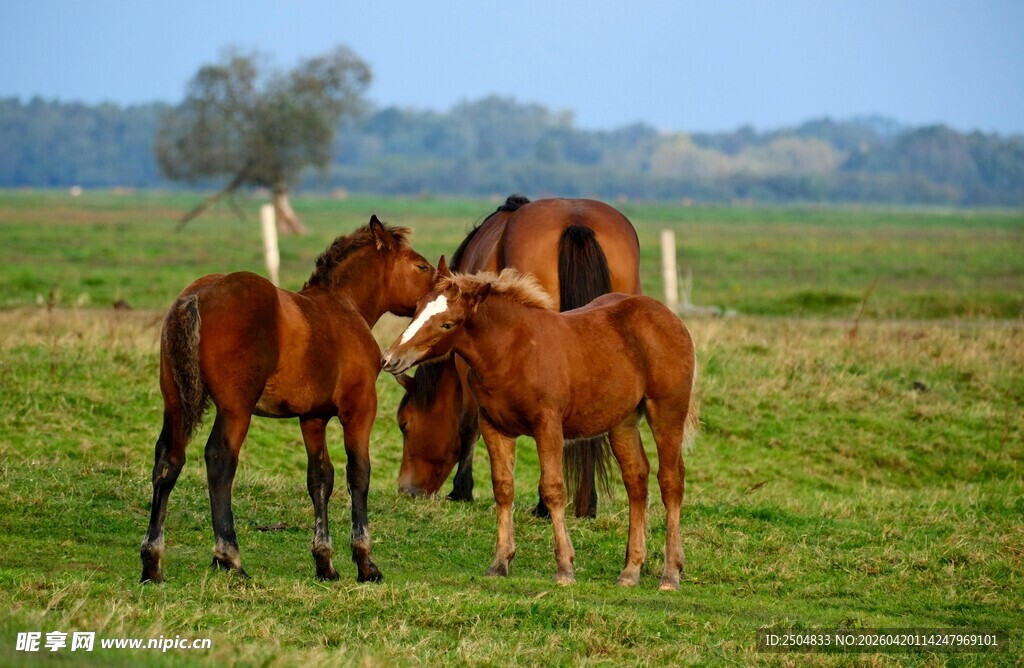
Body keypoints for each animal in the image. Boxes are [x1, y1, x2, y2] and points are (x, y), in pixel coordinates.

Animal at [140, 216, 435, 584]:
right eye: (421, 266)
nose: (441, 292)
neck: (343, 308)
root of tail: (197, 296)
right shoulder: (359, 409)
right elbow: (358, 474)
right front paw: (365, 562)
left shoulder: (312, 417)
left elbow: (320, 478)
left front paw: (325, 562)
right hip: (235, 409)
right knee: (220, 461)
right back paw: (229, 556)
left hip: (175, 402)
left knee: (168, 461)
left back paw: (152, 562)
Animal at [382, 261, 698, 590]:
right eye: (417, 308)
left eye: (447, 324)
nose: (390, 358)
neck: (511, 351)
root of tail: (669, 317)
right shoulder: (494, 427)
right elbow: (503, 488)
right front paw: (500, 562)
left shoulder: (548, 426)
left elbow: (553, 489)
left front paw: (565, 567)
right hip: (623, 422)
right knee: (636, 478)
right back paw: (630, 571)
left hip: (667, 411)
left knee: (671, 481)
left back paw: (670, 573)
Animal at [394, 195, 642, 519]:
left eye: (404, 424)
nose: (407, 490)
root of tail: (576, 221)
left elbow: (469, 424)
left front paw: (462, 489)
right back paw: (586, 504)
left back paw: (545, 506)